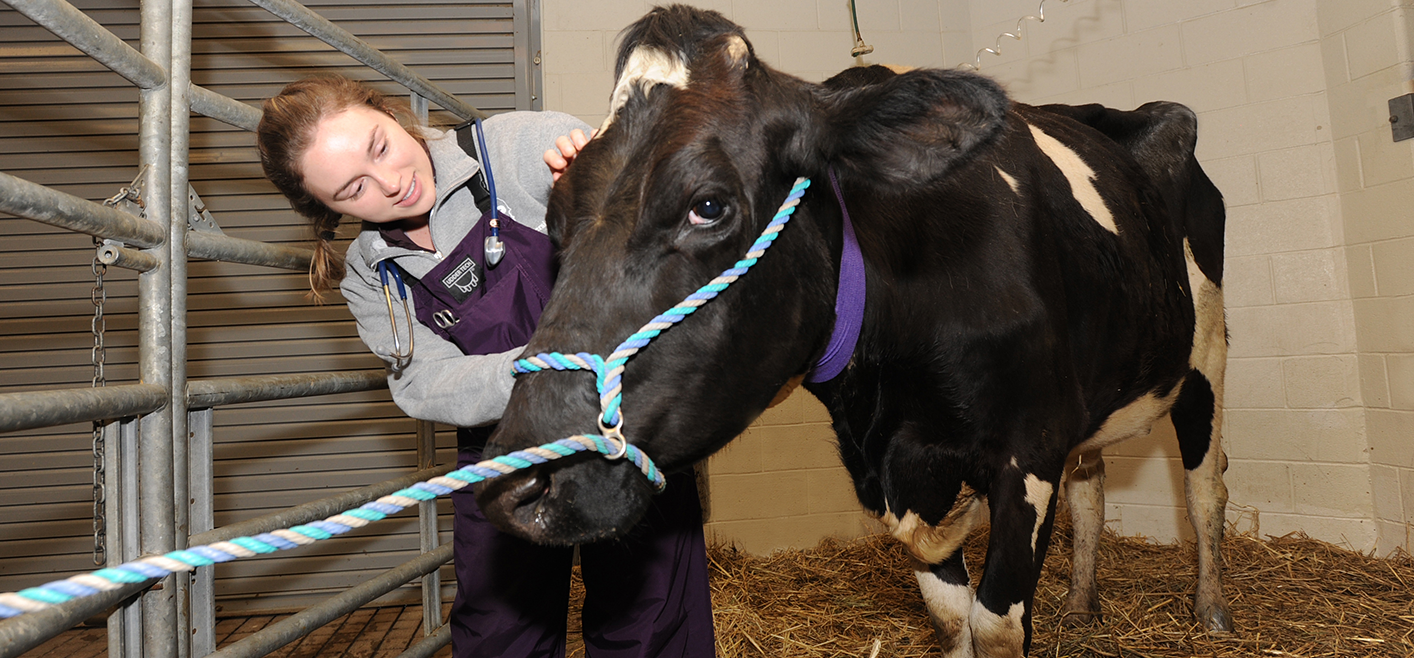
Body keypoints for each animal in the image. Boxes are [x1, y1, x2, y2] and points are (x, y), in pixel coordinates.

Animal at [474, 5, 1231, 656]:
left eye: (708, 205)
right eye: (554, 220)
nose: (516, 486)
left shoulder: (1031, 445)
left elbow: (994, 625)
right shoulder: (901, 468)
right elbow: (951, 618)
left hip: (1206, 355)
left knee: (1205, 488)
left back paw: (1213, 613)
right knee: (1093, 490)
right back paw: (1080, 605)